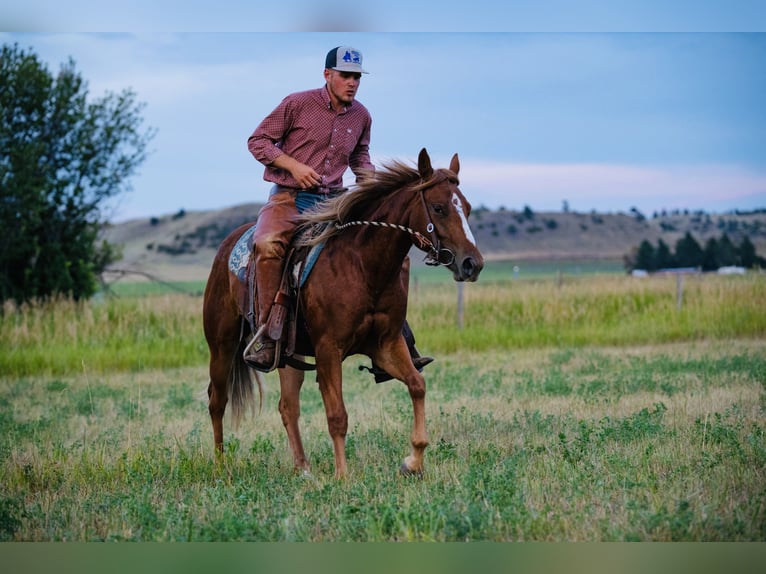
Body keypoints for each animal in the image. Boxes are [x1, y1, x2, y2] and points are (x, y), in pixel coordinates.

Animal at [202, 148, 484, 479]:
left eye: (467, 208)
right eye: (438, 208)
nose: (472, 264)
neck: (361, 264)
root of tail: (228, 244)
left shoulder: (387, 345)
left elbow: (417, 386)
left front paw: (413, 461)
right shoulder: (329, 350)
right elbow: (337, 414)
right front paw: (342, 476)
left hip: (288, 355)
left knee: (288, 407)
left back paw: (303, 468)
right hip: (222, 345)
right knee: (217, 401)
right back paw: (220, 466)